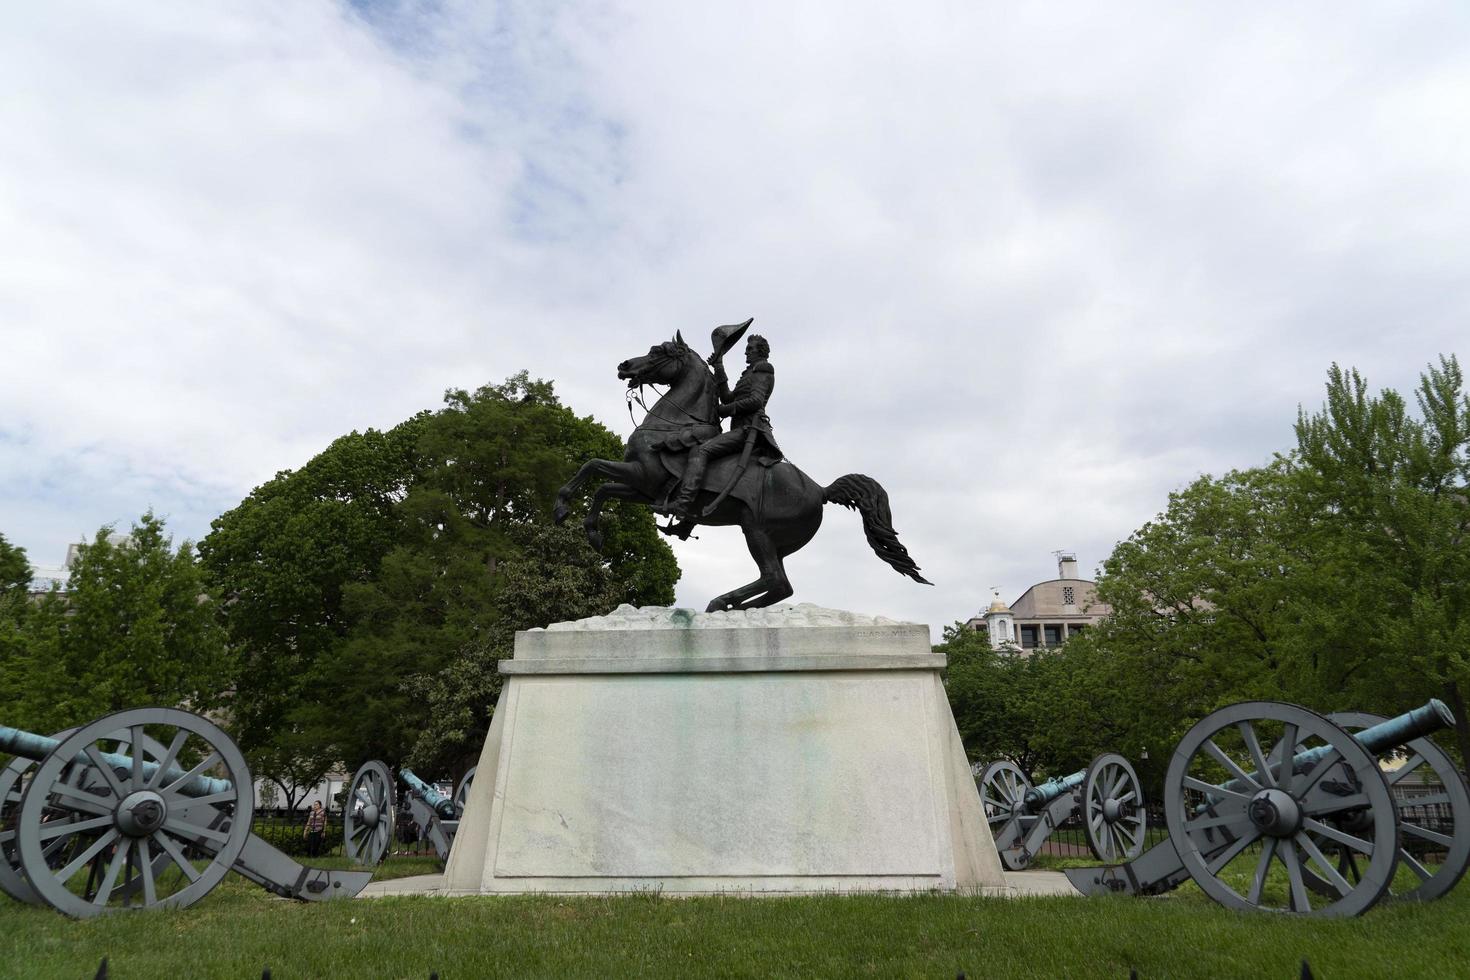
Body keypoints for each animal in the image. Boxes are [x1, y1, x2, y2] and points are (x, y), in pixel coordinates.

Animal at [552, 337, 929, 614]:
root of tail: (820, 490)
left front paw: (562, 508)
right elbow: (602, 487)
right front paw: (592, 533)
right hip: (777, 542)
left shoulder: (642, 476)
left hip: (755, 529)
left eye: (657, 351)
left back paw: (722, 602)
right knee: (779, 585)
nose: (624, 365)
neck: (671, 425)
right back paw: (734, 607)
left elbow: (593, 467)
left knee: (775, 579)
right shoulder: (642, 490)